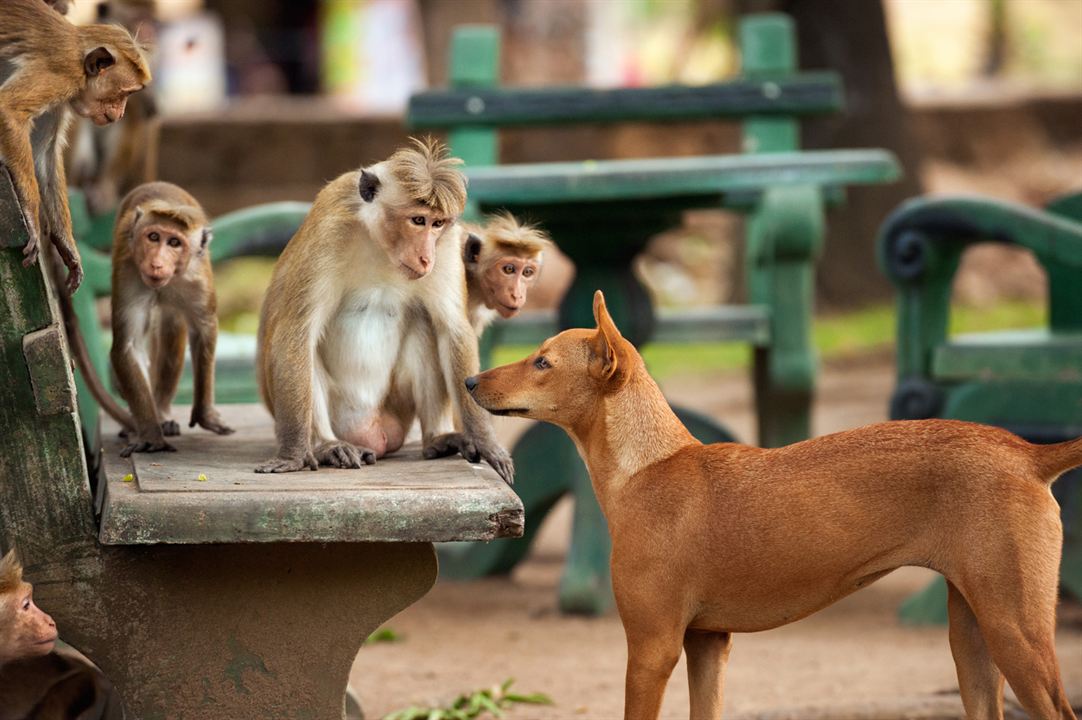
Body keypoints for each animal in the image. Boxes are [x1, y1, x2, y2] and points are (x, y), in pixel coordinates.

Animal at [0, 0, 152, 294]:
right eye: (124, 93)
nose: (120, 114)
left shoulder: (62, 99)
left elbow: (44, 156)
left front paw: (66, 245)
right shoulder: (63, 75)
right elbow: (9, 109)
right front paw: (30, 215)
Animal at [259, 134, 517, 482]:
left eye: (437, 223)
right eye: (418, 220)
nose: (426, 257)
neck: (380, 244)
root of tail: (371, 434)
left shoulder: (448, 244)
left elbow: (453, 329)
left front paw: (486, 442)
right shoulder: (329, 232)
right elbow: (296, 330)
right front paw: (293, 454)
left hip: (396, 409)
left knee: (425, 321)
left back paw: (437, 440)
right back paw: (327, 446)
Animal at [467, 290, 1082, 714]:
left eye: (542, 362)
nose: (470, 381)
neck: (650, 466)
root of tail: (1028, 454)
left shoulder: (651, 647)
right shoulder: (708, 644)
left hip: (1016, 631)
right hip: (973, 637)